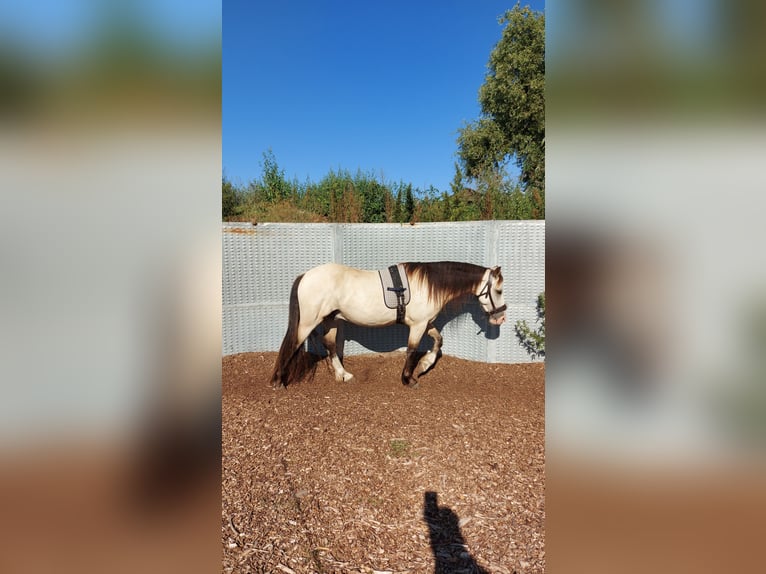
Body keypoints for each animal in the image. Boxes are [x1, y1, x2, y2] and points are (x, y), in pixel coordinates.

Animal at [269, 261, 507, 389]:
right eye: (499, 290)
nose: (501, 318)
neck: (427, 285)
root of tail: (305, 275)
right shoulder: (418, 325)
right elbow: (412, 350)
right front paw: (408, 379)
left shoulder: (426, 323)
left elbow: (438, 341)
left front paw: (424, 366)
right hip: (308, 322)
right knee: (293, 344)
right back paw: (279, 380)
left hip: (331, 320)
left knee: (331, 346)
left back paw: (343, 375)